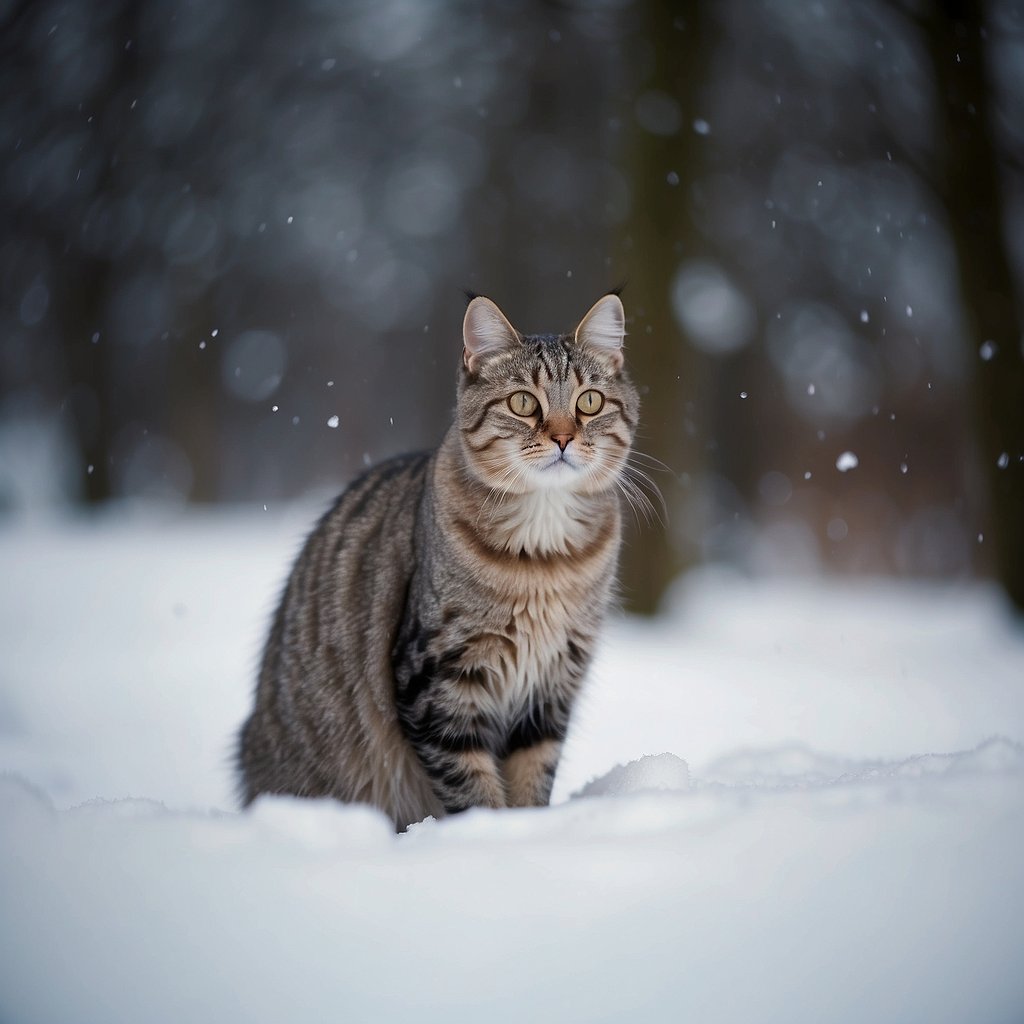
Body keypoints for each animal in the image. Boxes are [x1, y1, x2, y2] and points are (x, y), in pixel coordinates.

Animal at [237, 292, 638, 827]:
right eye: (523, 403)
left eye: (589, 402)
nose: (562, 438)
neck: (542, 563)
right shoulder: (437, 677)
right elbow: (472, 787)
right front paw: (494, 835)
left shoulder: (551, 684)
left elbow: (532, 777)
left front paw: (530, 829)